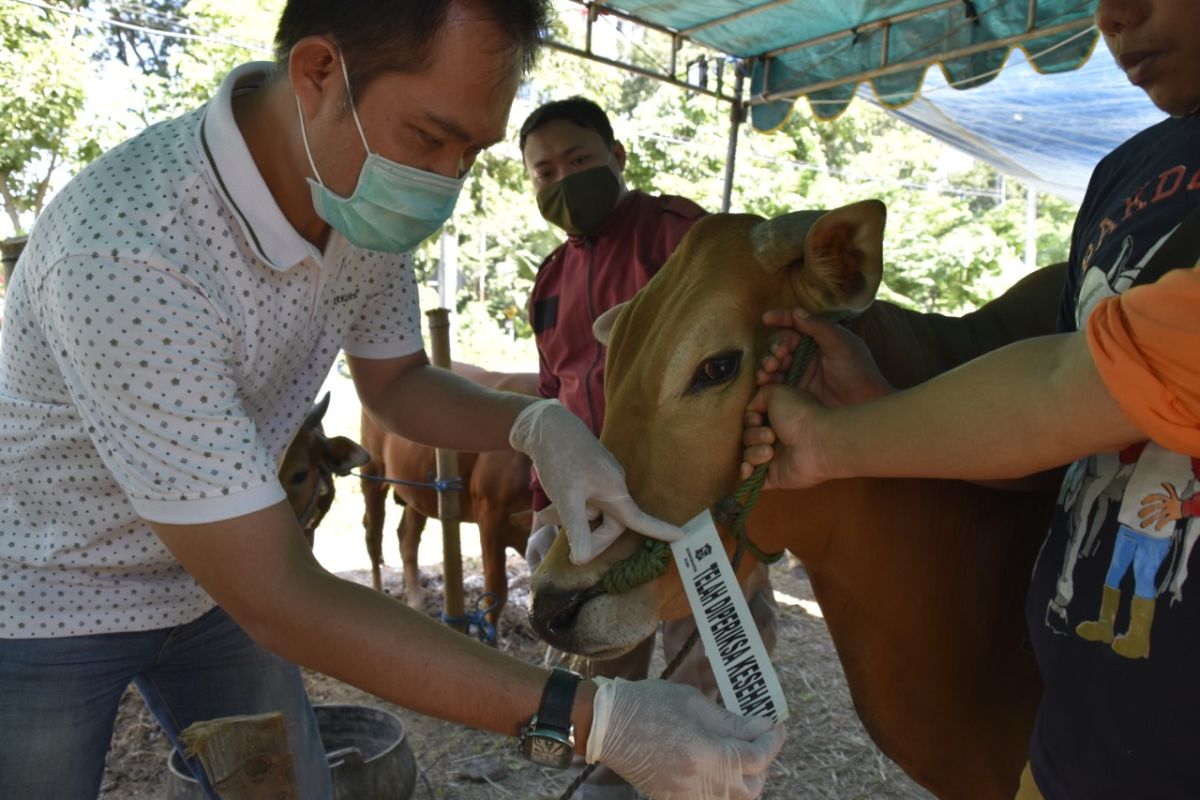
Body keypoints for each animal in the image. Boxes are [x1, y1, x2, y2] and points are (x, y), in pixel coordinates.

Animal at [355, 362, 535, 618]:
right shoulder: (490, 514)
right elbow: (496, 591)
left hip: (418, 487)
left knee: (406, 538)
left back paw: (416, 600)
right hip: (372, 471)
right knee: (373, 533)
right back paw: (380, 590)